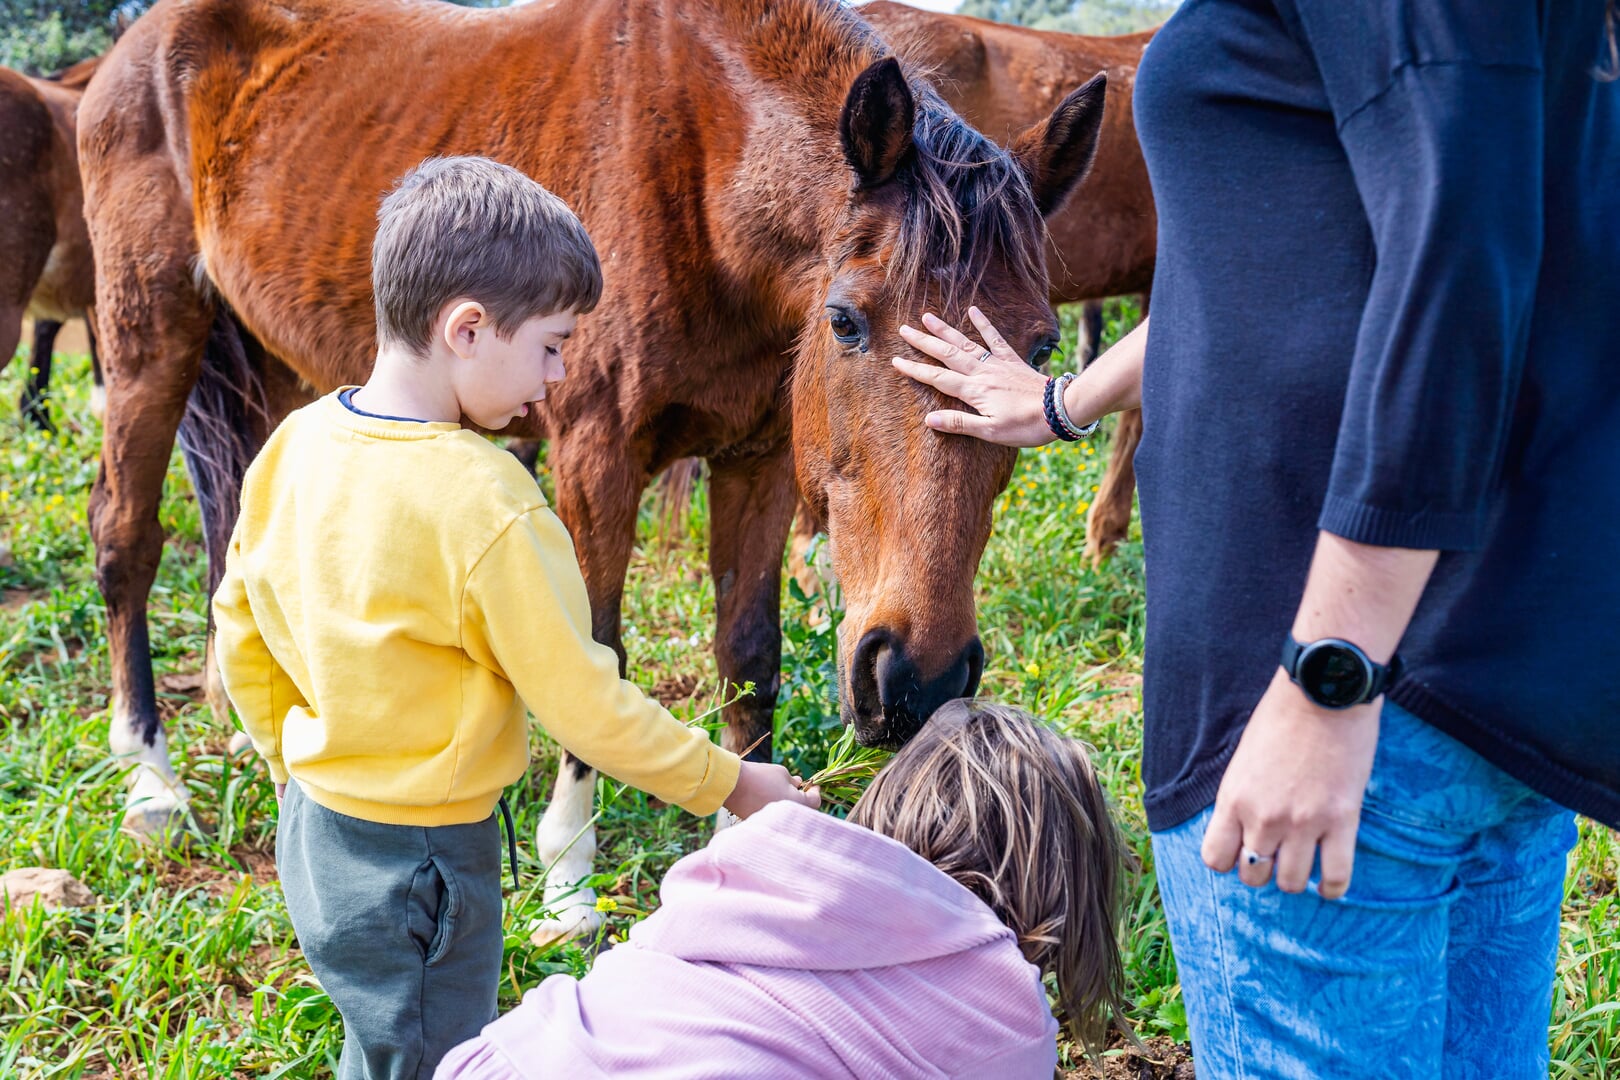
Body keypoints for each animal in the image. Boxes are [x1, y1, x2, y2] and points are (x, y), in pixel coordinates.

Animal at [79, 0, 1105, 940]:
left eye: (1038, 349)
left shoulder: (760, 461)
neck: (701, 170)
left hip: (271, 364)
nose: (918, 683)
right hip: (148, 339)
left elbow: (749, 652)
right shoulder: (594, 456)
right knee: (125, 532)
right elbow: (594, 651)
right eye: (847, 321)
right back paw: (149, 780)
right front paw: (568, 879)